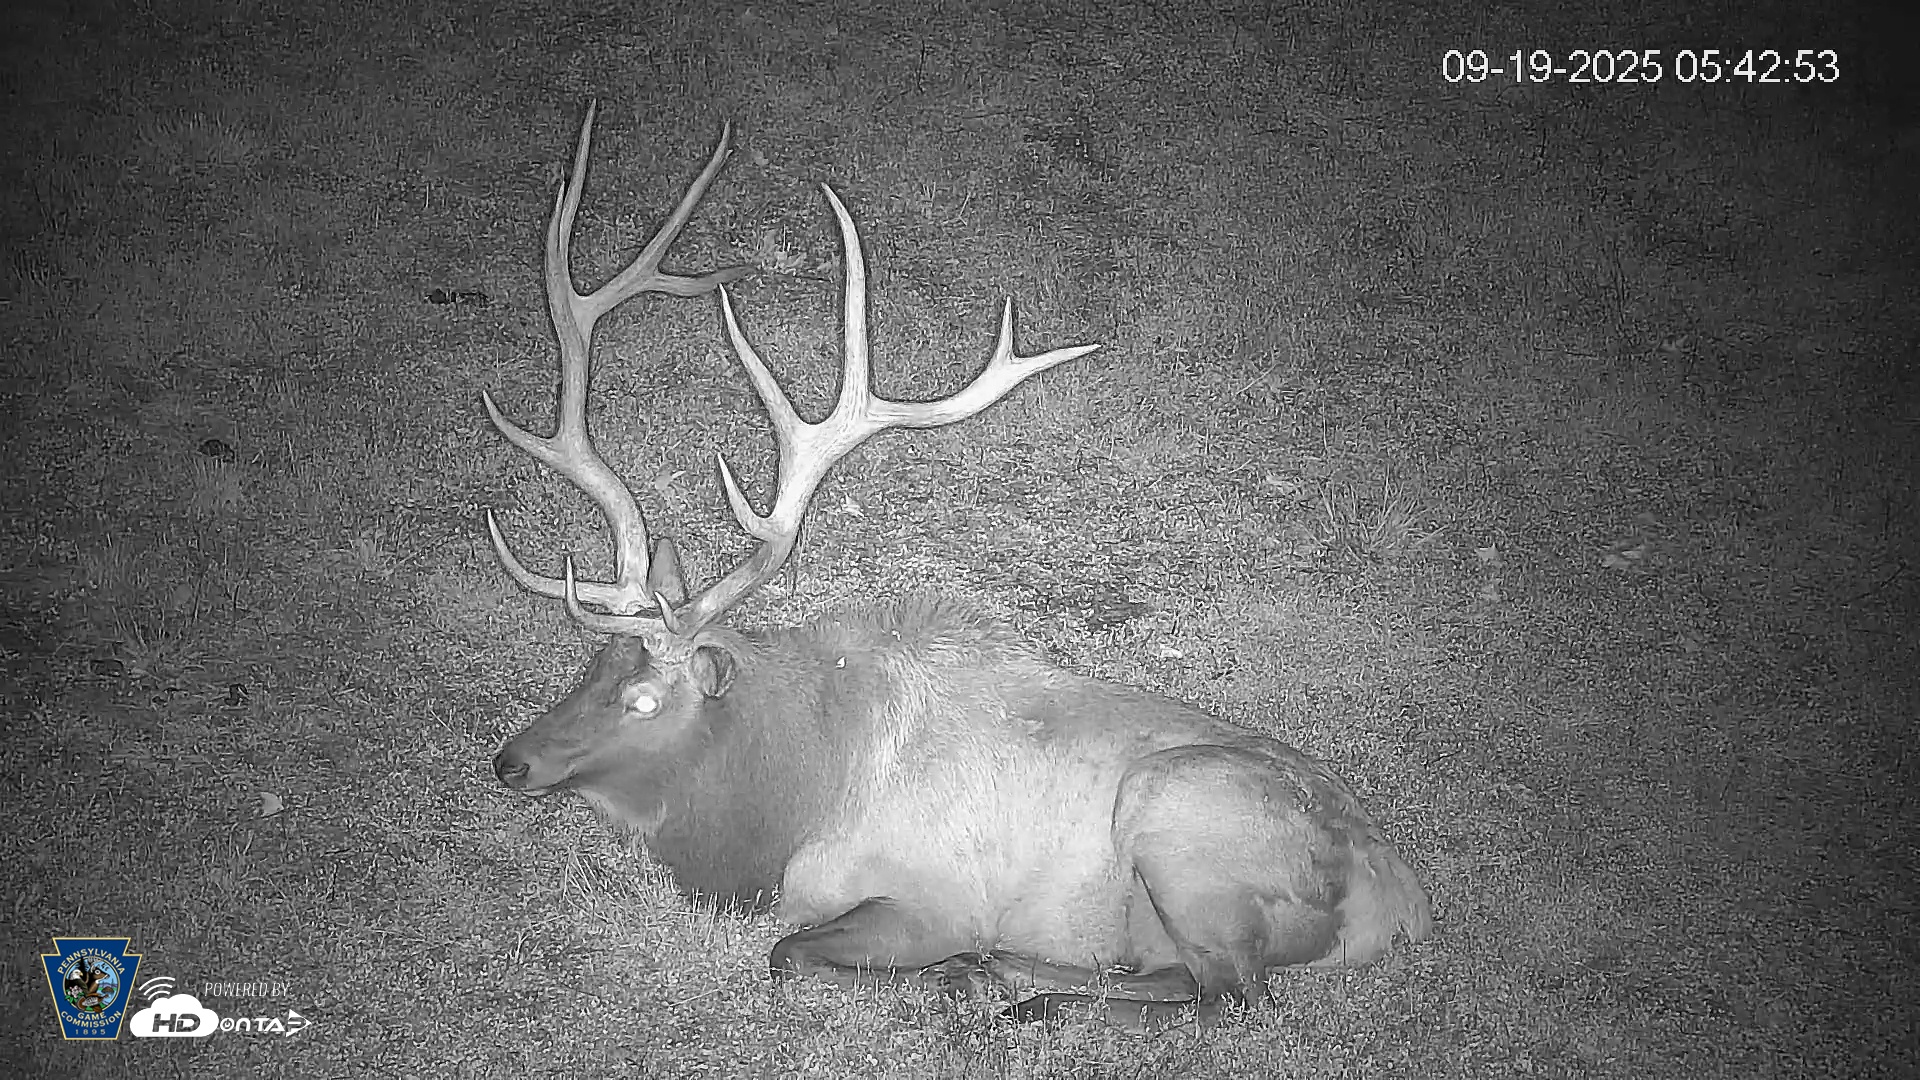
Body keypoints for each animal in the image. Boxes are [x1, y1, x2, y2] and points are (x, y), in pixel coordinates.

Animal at [485, 104, 1432, 1031]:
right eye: (592, 663)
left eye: (644, 700)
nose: (510, 762)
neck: (784, 806)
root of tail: (1401, 906)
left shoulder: (930, 898)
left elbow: (787, 954)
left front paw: (942, 976)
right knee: (1178, 980)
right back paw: (1014, 980)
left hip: (1180, 815)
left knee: (1233, 1000)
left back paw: (1008, 989)